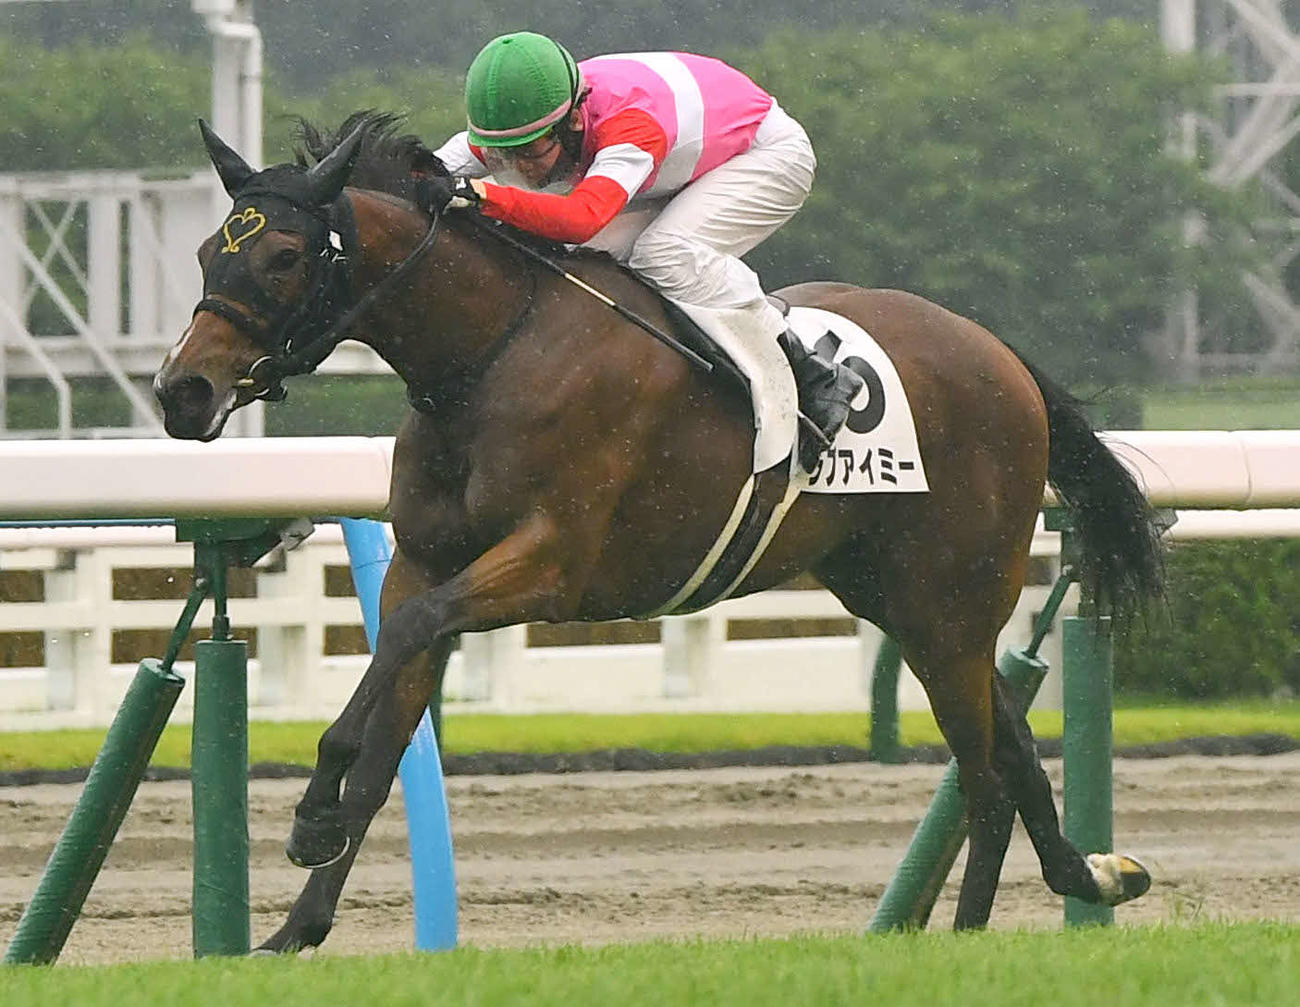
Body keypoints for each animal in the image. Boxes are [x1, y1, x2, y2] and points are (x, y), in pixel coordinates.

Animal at [153, 112, 1163, 951]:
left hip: (953, 597)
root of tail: (1001, 353)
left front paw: (312, 811)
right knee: (1011, 751)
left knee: (986, 775)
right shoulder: (425, 561)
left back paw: (964, 937)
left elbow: (401, 643)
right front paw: (295, 928)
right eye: (207, 249)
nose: (182, 391)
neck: (491, 354)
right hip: (904, 598)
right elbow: (391, 720)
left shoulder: (550, 564)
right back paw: (1092, 876)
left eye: (286, 254)